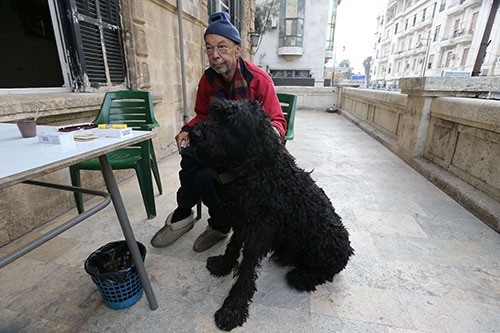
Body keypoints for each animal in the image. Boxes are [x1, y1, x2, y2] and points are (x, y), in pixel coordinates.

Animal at [188, 98, 356, 330]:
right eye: (214, 113)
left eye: (231, 123)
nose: (193, 133)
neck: (255, 171)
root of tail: (347, 249)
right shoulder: (242, 221)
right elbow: (233, 246)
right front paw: (224, 264)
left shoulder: (259, 230)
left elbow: (246, 271)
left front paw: (233, 308)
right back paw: (286, 256)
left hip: (330, 239)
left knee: (327, 271)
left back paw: (302, 277)